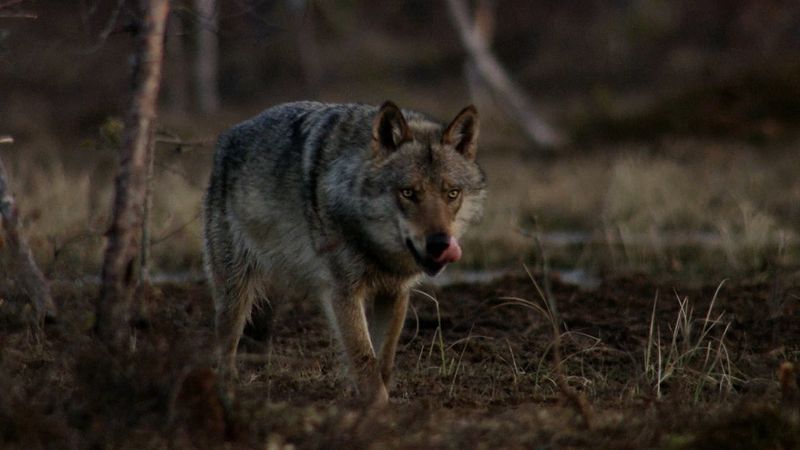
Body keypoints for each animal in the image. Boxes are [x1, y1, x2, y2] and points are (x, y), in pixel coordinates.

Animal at [203, 100, 484, 406]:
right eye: (408, 193)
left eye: (452, 193)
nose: (439, 244)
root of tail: (228, 135)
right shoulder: (343, 293)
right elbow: (364, 360)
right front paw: (379, 411)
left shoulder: (395, 293)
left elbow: (383, 361)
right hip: (235, 295)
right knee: (225, 349)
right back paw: (228, 393)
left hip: (273, 293)